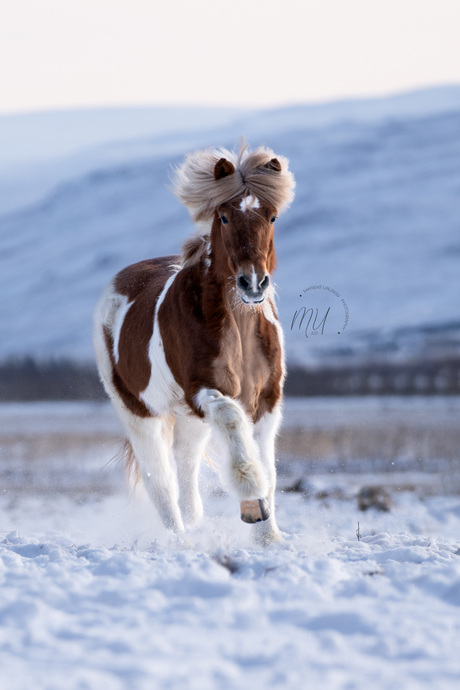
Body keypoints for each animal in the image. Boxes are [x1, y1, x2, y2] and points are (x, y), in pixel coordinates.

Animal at [93, 141, 294, 544]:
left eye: (272, 217)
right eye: (225, 218)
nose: (253, 283)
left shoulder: (267, 399)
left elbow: (269, 468)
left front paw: (270, 538)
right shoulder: (206, 389)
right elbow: (233, 423)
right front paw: (251, 501)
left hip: (189, 419)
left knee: (185, 471)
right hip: (140, 413)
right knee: (161, 480)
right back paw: (179, 541)